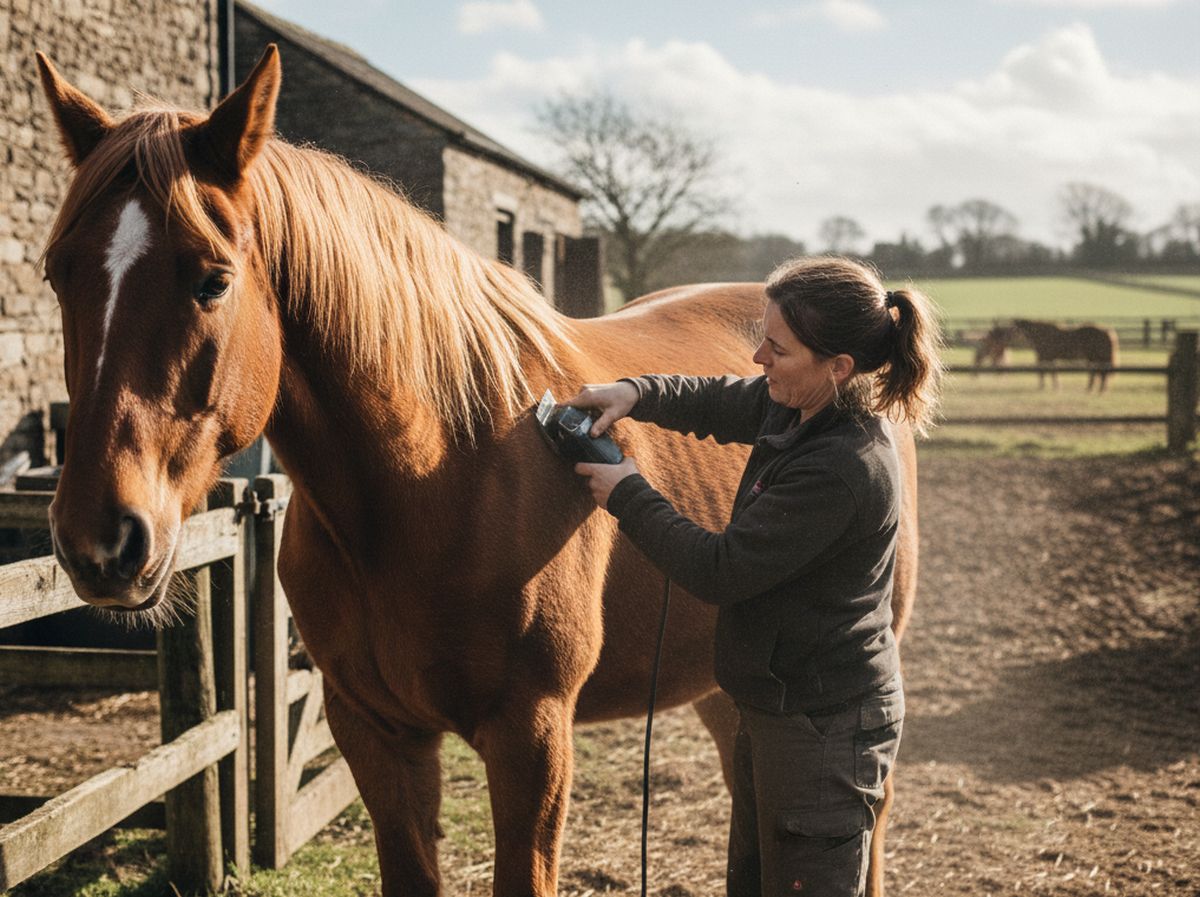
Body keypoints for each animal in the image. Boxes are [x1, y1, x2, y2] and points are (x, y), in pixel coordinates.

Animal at [36, 47, 919, 896]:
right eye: (55, 270)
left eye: (213, 278)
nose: (100, 540)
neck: (429, 483)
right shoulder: (376, 732)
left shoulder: (531, 737)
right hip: (720, 683)